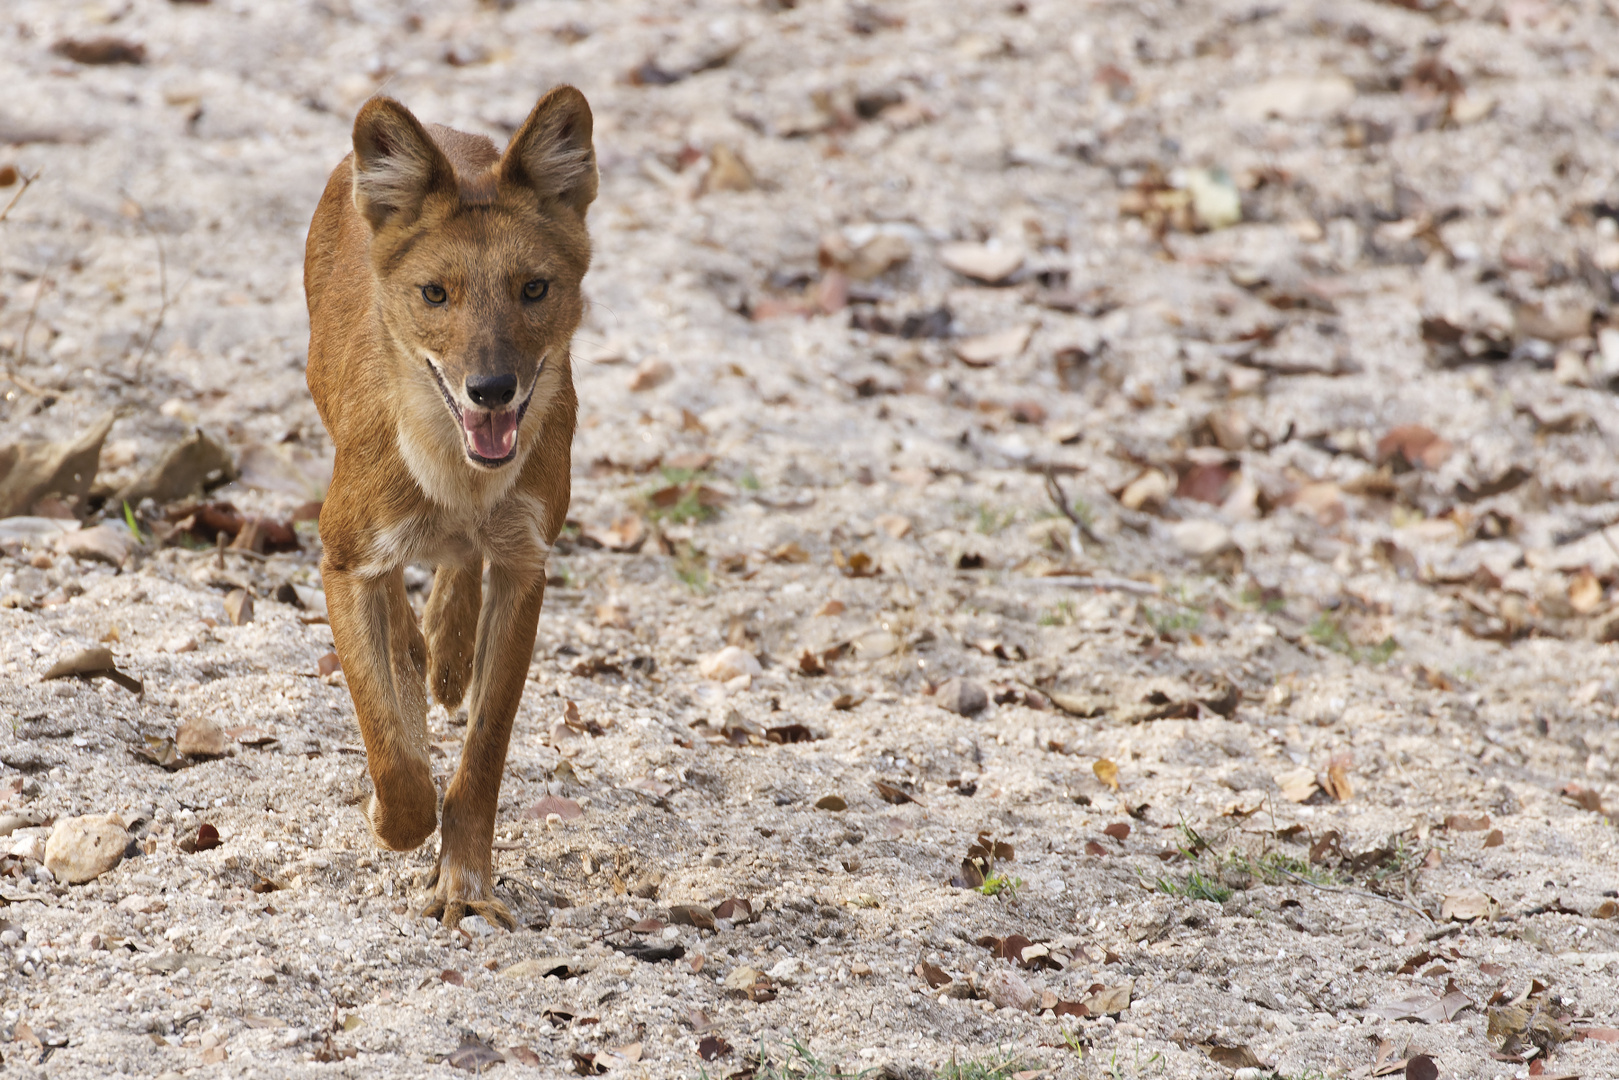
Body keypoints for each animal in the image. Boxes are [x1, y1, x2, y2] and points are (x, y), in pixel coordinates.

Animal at [304, 88, 595, 926]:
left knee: (458, 574)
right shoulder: (345, 557)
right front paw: (390, 817)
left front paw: (465, 884)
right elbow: (390, 747)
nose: (490, 389)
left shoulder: (526, 565)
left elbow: (484, 752)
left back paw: (445, 652)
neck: (458, 479)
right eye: (435, 293)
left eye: (534, 289)